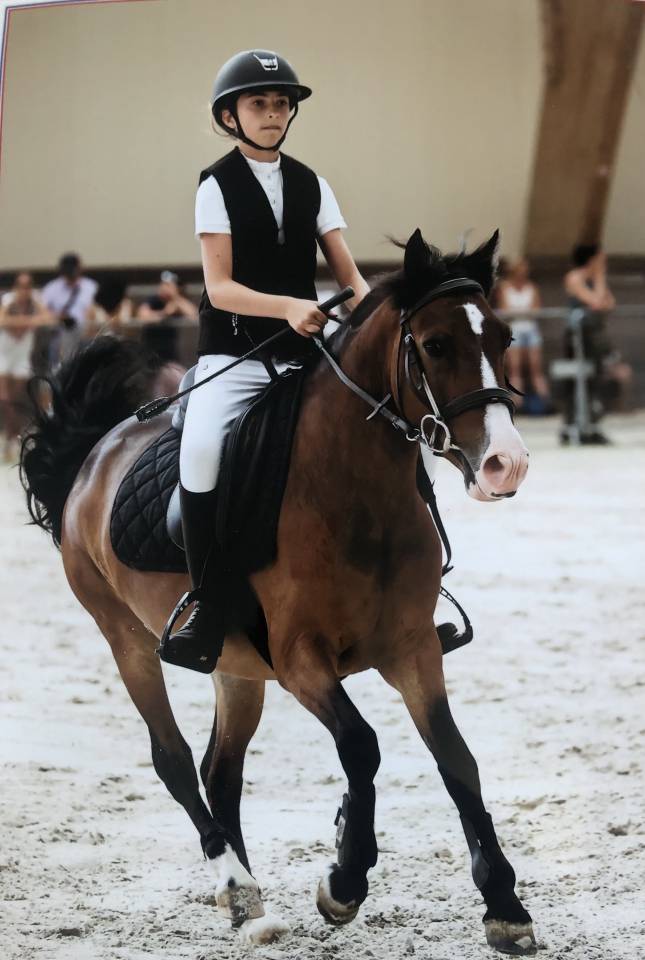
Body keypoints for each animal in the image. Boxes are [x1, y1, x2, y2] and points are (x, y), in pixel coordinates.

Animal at [20, 228, 535, 952]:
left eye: (503, 338)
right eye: (434, 345)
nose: (504, 464)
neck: (354, 490)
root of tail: (97, 451)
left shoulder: (413, 649)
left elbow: (457, 761)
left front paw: (504, 904)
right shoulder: (300, 658)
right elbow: (361, 747)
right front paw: (344, 880)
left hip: (237, 668)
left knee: (220, 771)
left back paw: (248, 904)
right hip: (126, 640)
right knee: (175, 761)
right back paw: (239, 889)